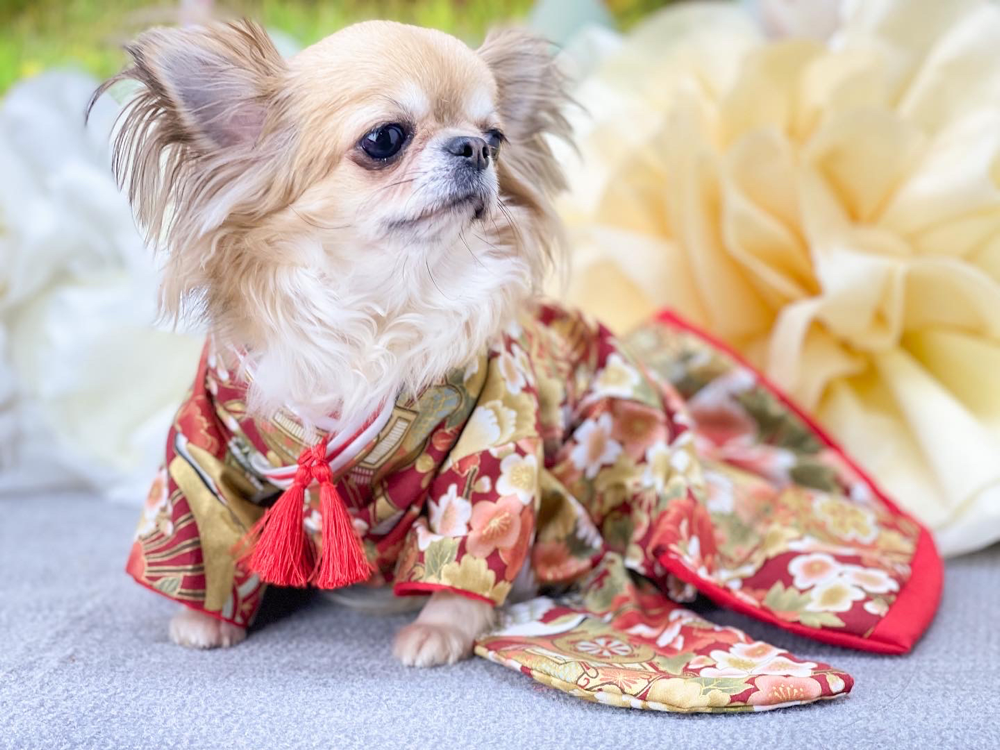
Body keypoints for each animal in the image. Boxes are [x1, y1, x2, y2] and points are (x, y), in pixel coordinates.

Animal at [94, 18, 571, 667]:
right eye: (386, 138)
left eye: (496, 137)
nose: (475, 147)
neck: (373, 302)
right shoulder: (207, 442)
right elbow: (205, 519)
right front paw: (205, 616)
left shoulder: (495, 431)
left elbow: (470, 545)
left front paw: (440, 628)